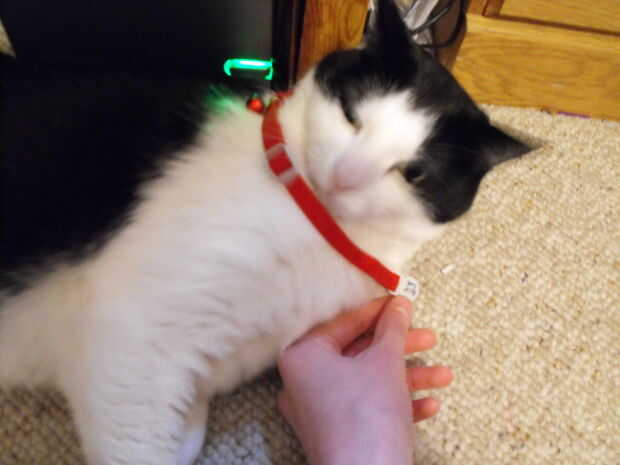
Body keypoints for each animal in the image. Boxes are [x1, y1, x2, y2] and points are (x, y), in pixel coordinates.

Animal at [0, 1, 530, 464]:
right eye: (351, 115)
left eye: (413, 173)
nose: (346, 176)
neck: (316, 226)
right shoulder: (131, 344)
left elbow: (187, 435)